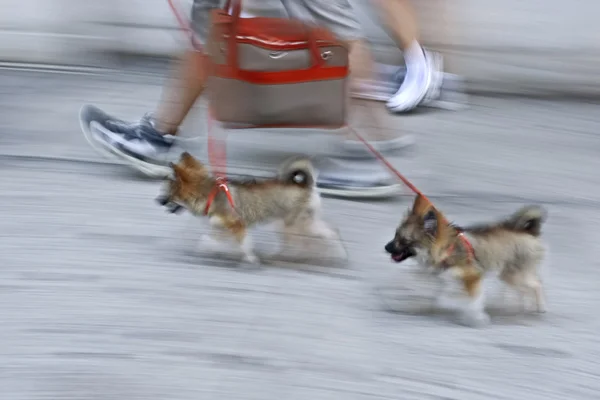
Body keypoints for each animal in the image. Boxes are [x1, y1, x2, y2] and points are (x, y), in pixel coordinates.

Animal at [384, 195, 548, 326]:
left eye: (405, 241)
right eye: (395, 235)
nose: (386, 247)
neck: (446, 250)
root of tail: (529, 232)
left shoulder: (472, 277)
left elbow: (471, 300)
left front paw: (475, 317)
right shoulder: (445, 278)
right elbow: (441, 293)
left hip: (513, 274)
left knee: (536, 285)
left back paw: (539, 307)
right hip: (510, 275)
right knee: (526, 289)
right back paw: (522, 306)